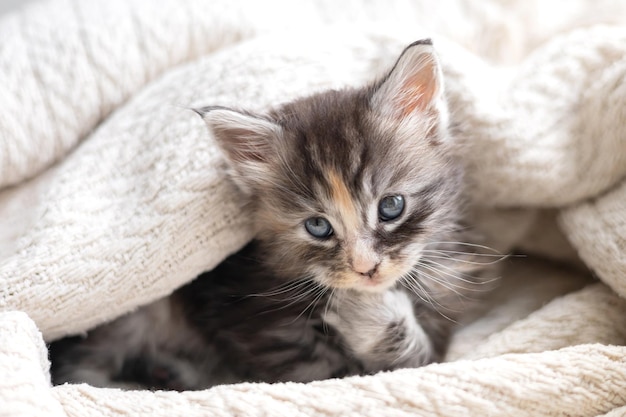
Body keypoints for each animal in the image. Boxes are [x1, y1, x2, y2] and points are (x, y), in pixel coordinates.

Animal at [48, 39, 492, 390]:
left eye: (391, 207)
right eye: (318, 226)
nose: (365, 270)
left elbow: (419, 358)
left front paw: (367, 312)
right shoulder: (259, 330)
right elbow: (335, 373)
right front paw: (361, 308)